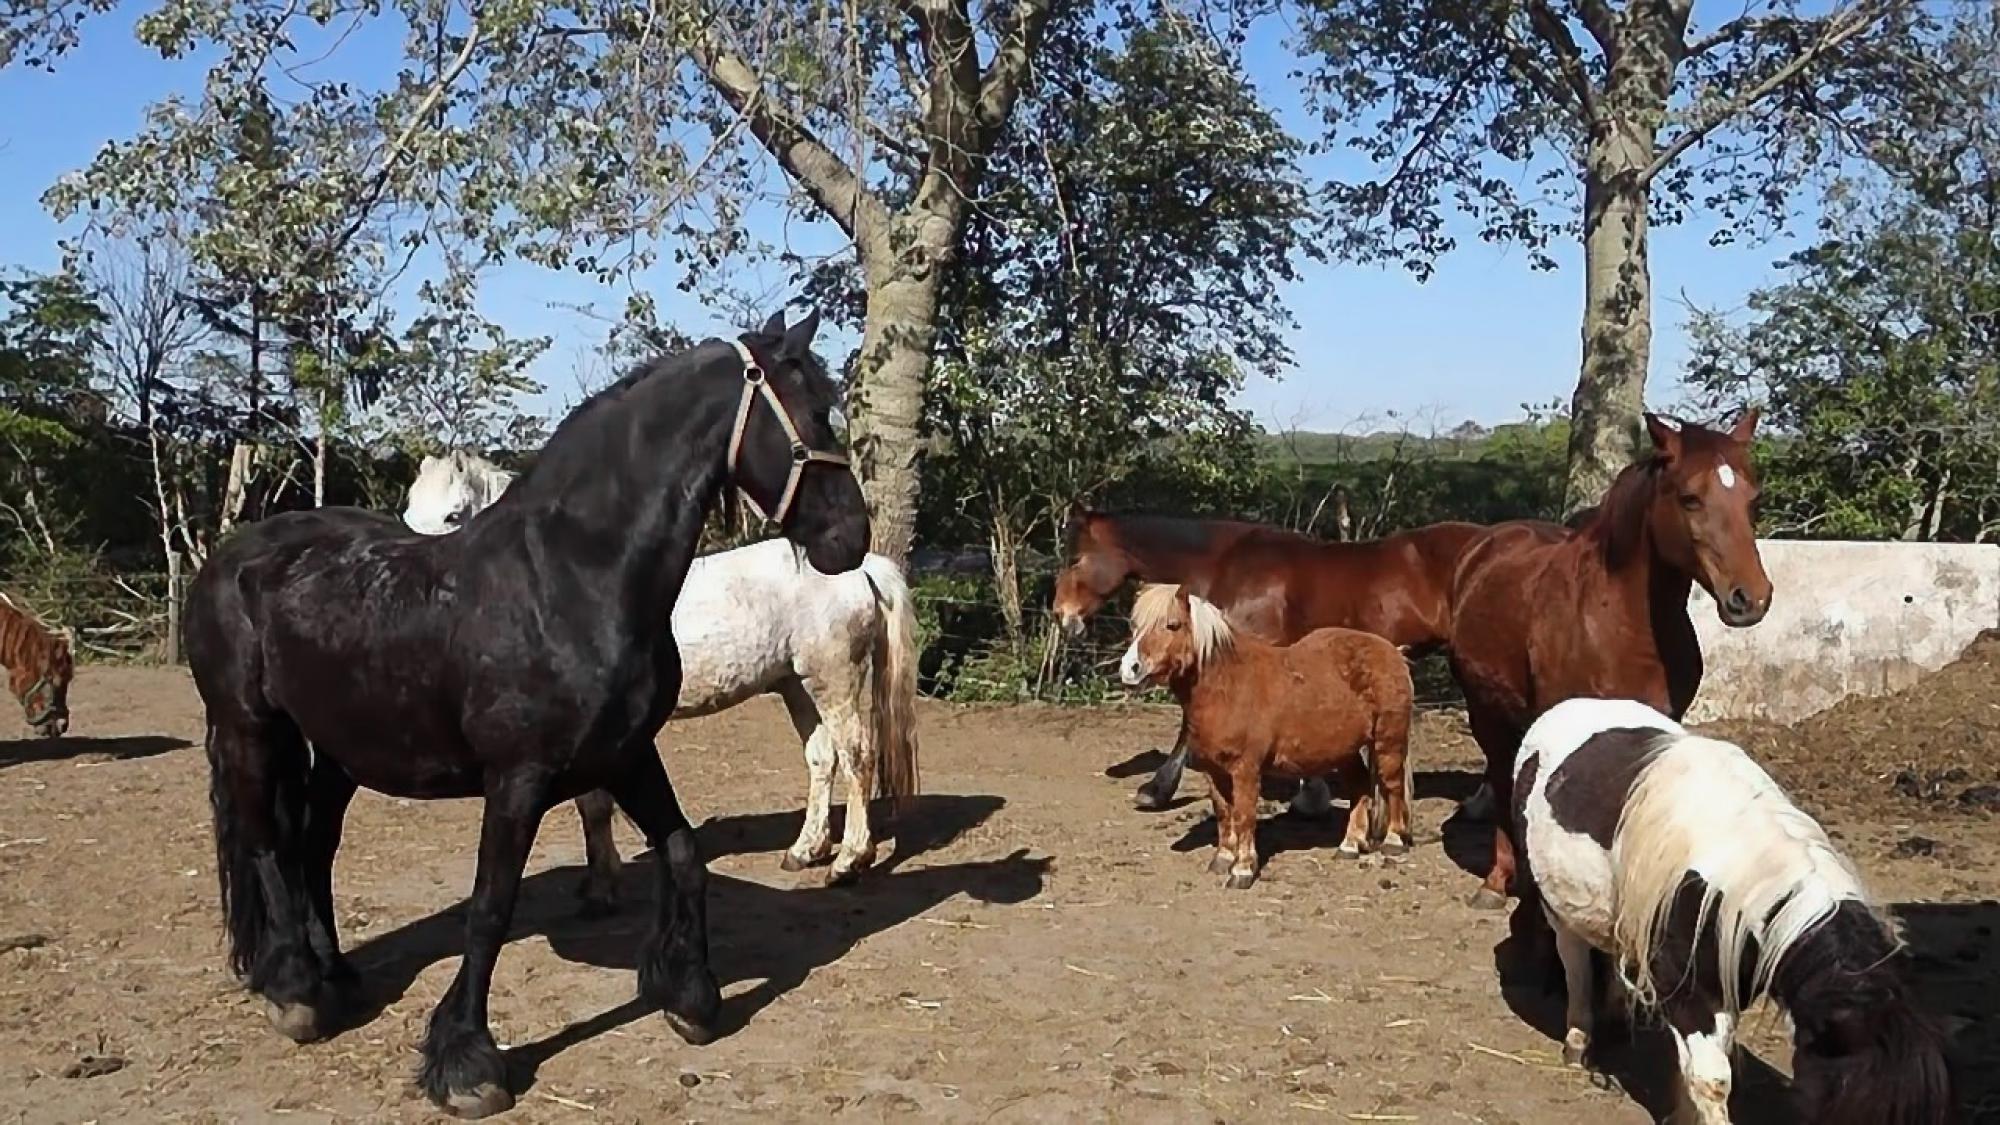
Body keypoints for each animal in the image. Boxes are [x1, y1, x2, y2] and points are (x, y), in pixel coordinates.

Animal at [183, 310, 868, 1118]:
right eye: (813, 412)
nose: (850, 538)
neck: (573, 578)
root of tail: (230, 557)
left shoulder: (627, 752)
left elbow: (683, 853)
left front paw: (690, 996)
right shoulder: (519, 777)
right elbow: (491, 905)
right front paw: (467, 1062)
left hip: (342, 748)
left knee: (311, 847)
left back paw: (337, 977)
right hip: (250, 728)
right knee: (266, 846)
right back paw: (295, 990)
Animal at [403, 452, 921, 894]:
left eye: (453, 516)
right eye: (408, 512)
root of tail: (861, 567)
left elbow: (594, 806)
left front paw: (602, 886)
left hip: (833, 680)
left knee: (857, 755)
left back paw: (849, 861)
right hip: (796, 685)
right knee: (821, 758)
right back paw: (805, 849)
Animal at [1117, 583, 1415, 889]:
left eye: (1172, 625)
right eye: (1134, 625)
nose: (1129, 669)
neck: (1229, 686)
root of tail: (1392, 651)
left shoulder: (1246, 770)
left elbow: (1244, 815)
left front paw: (1242, 870)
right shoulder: (1214, 771)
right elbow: (1224, 813)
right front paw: (1223, 859)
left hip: (1388, 742)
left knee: (1392, 786)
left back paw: (1393, 841)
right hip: (1345, 751)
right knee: (1359, 787)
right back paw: (1350, 846)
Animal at [1448, 411, 1773, 910]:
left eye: (1752, 500)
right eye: (1690, 498)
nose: (1750, 598)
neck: (1619, 621)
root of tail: (1485, 546)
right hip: (1484, 710)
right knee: (1502, 778)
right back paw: (1497, 879)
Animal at [1513, 697, 1954, 1125]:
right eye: (1859, 1100)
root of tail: (1567, 707)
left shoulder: (1727, 985)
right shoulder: (1687, 991)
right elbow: (1712, 1079)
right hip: (1557, 910)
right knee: (1574, 962)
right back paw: (1578, 1042)